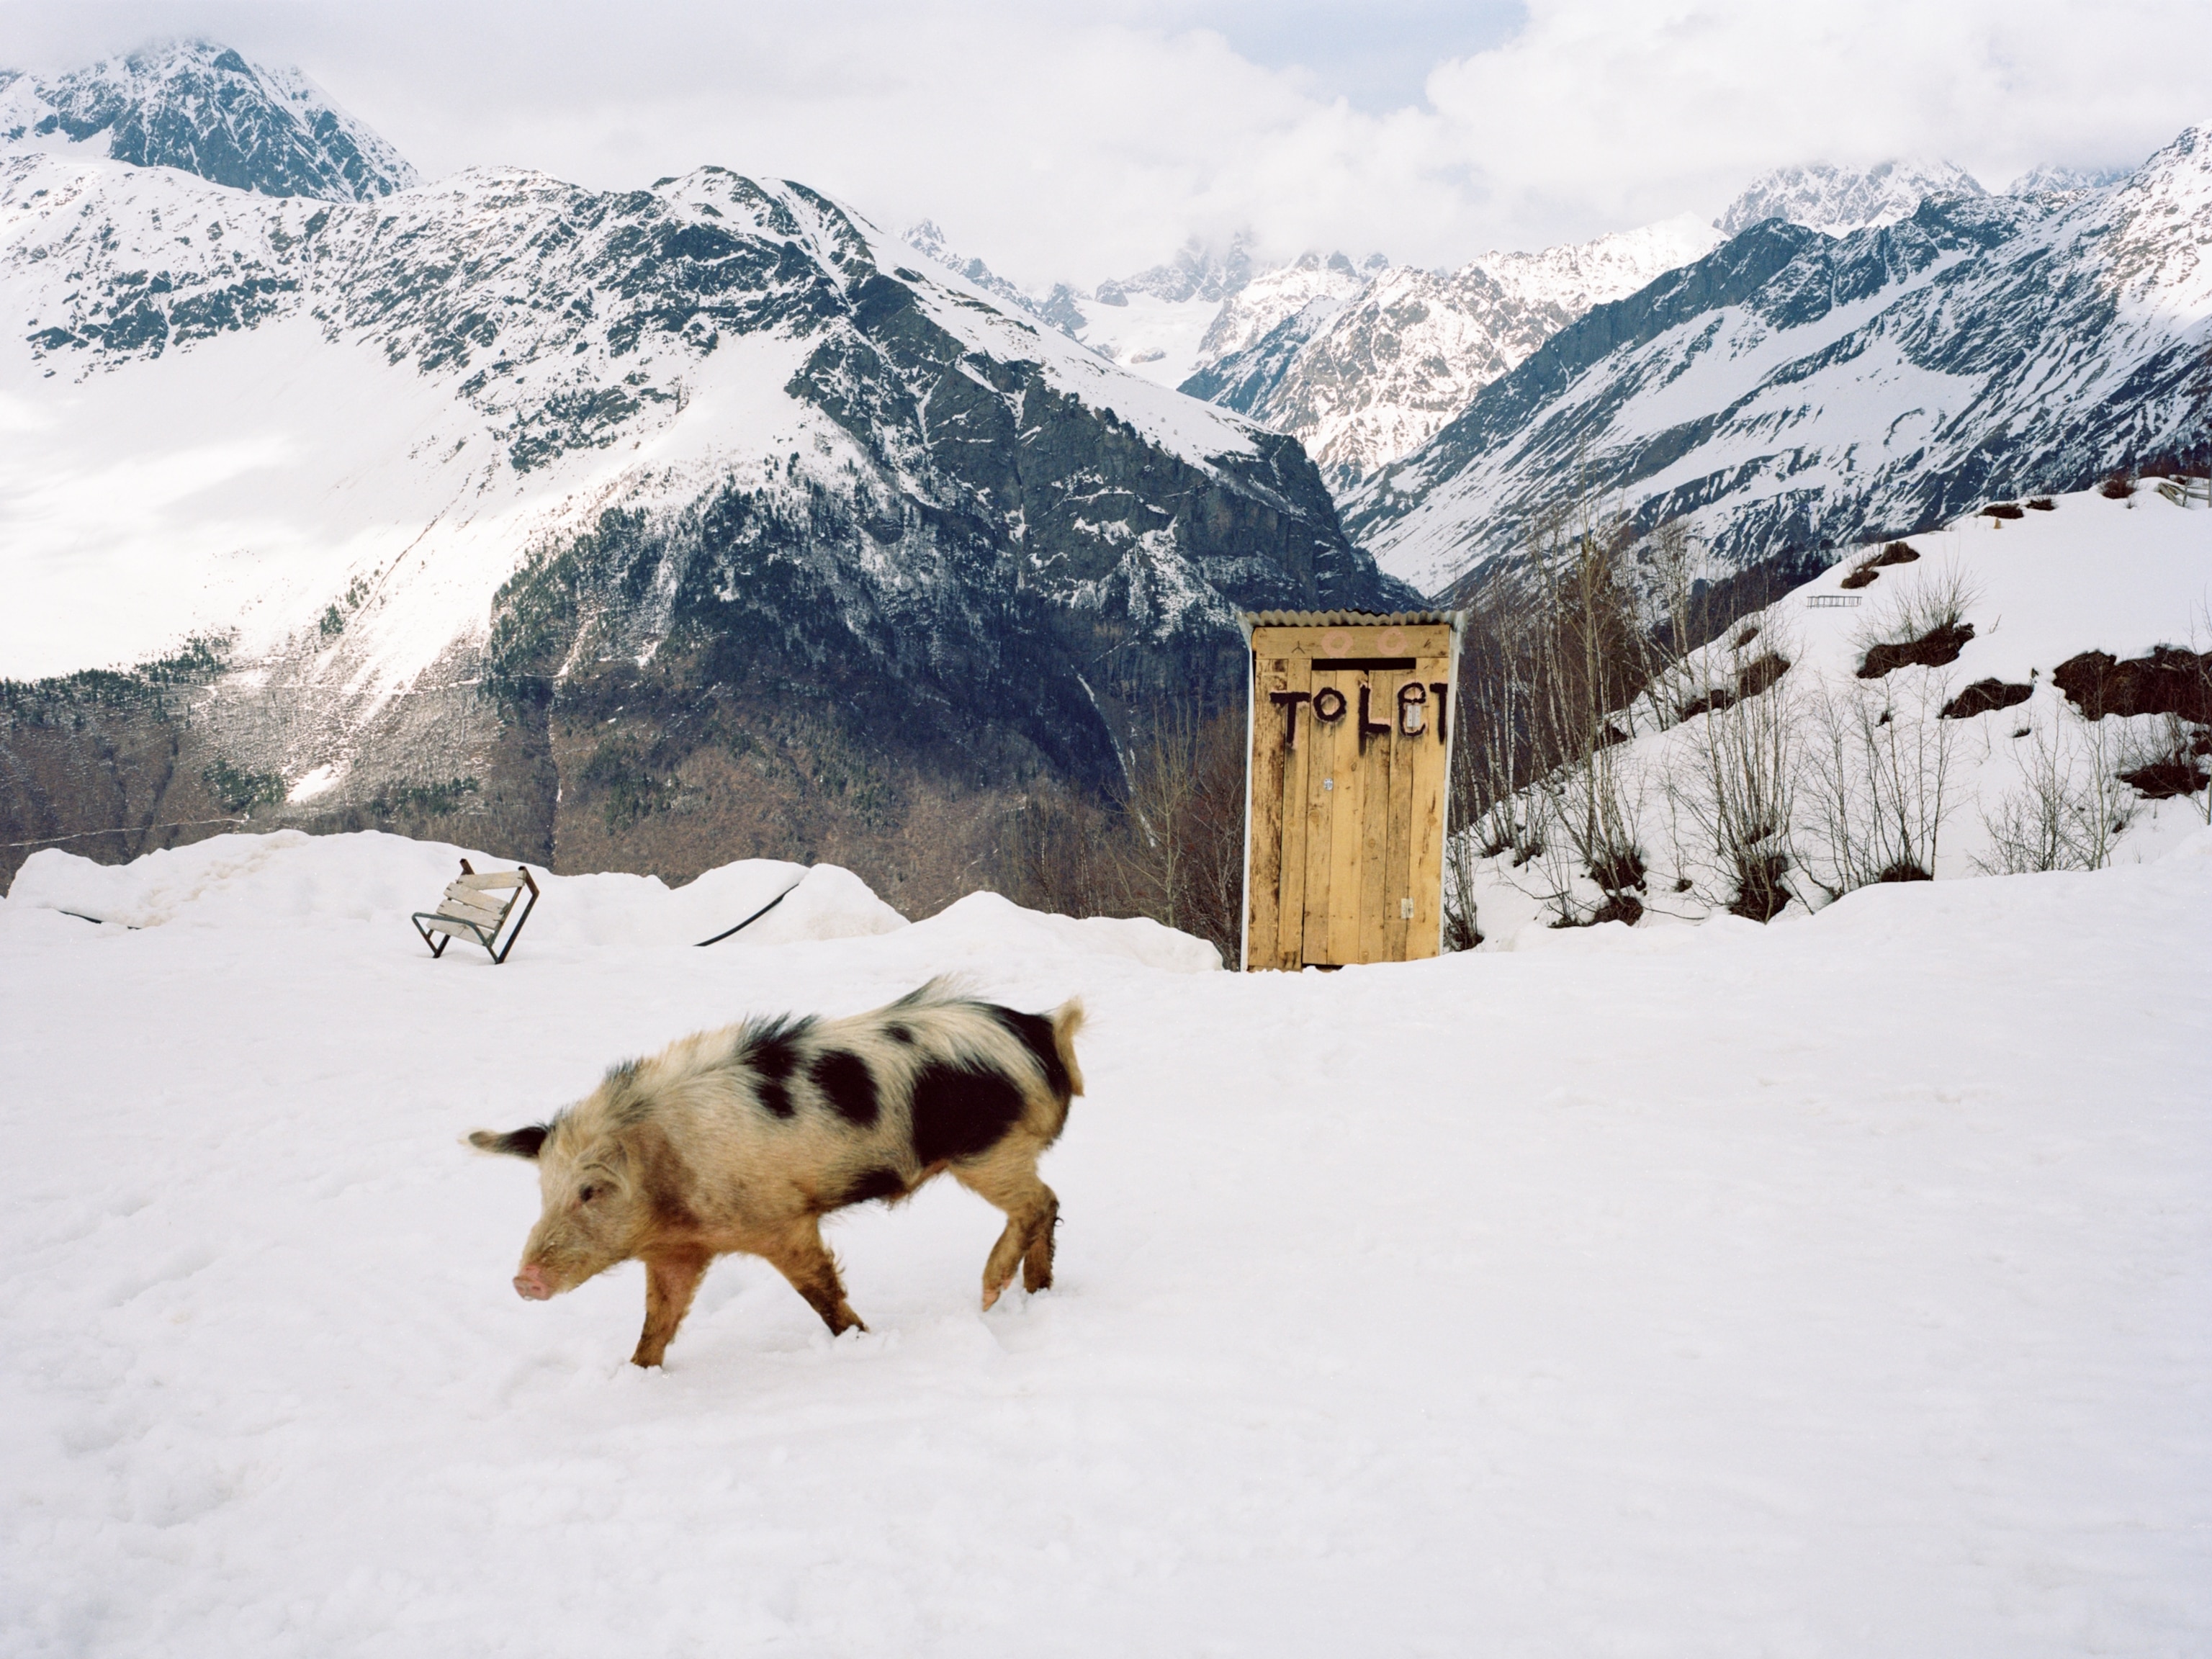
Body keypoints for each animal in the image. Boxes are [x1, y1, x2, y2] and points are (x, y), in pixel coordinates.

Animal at [471, 981, 1084, 1371]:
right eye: (543, 1193)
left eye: (591, 1190)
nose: (523, 1280)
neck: (673, 1181)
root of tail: (1041, 1031)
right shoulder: (679, 1252)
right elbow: (658, 1320)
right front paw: (637, 1376)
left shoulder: (780, 1220)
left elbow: (818, 1289)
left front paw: (862, 1342)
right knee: (1050, 1204)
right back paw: (1037, 1292)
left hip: (988, 1152)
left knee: (1039, 1202)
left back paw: (988, 1295)